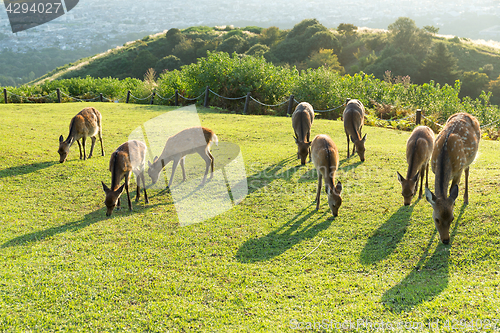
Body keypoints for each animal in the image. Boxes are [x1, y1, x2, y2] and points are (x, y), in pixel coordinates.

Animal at [426, 112, 480, 244]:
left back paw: (466, 199)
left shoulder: (458, 171)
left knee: (467, 171)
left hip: (467, 160)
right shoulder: (434, 170)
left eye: (452, 218)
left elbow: (452, 190)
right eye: (437, 219)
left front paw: (454, 204)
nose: (446, 240)